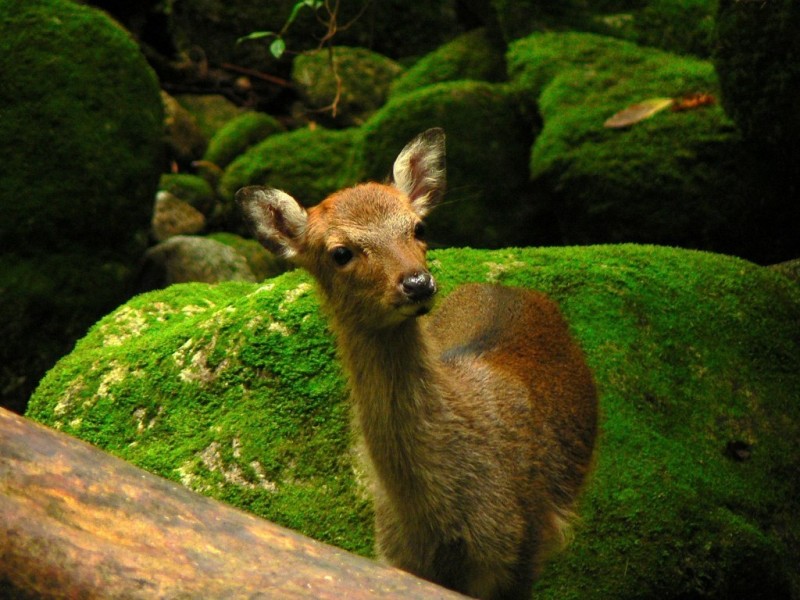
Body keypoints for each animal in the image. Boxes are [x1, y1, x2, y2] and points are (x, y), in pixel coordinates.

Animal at [238, 129, 600, 596]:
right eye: (340, 252)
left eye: (418, 227)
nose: (417, 283)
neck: (436, 521)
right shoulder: (397, 557)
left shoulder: (520, 550)